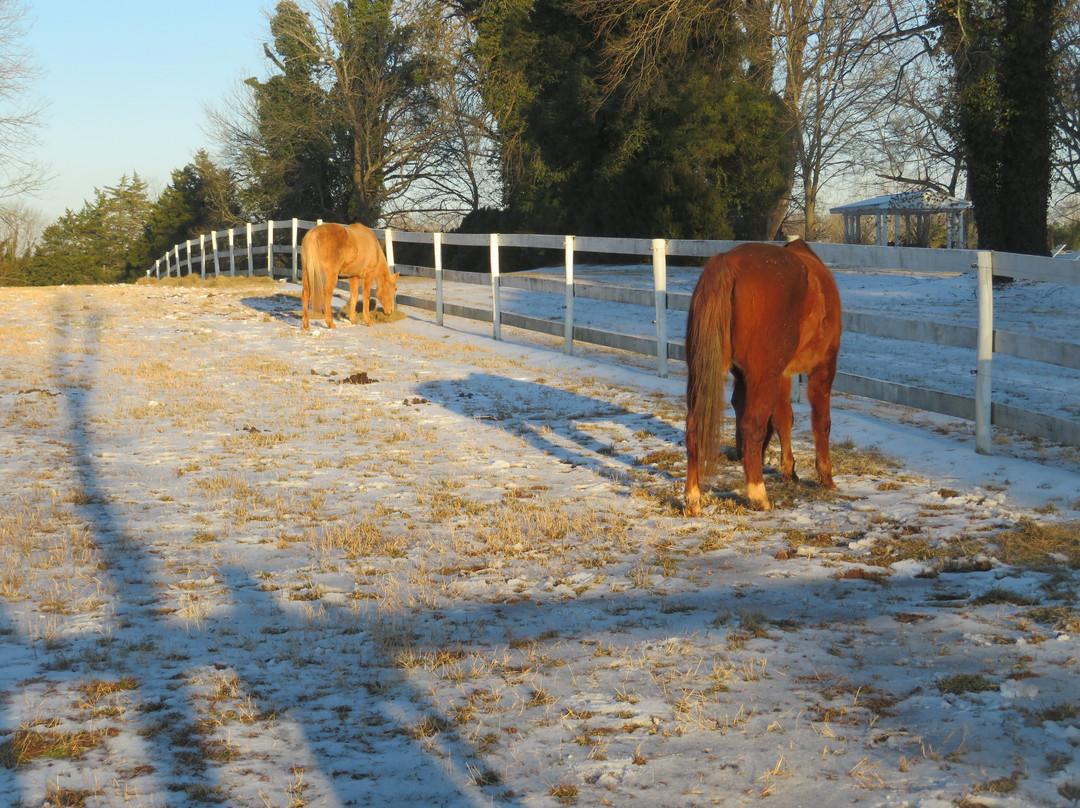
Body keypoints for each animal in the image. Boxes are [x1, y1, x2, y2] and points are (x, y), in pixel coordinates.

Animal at [682, 236, 842, 514]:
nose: (739, 455)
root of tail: (729, 262)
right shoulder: (824, 366)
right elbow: (821, 421)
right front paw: (826, 478)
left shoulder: (780, 374)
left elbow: (782, 418)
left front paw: (789, 470)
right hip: (765, 375)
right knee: (752, 426)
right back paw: (758, 495)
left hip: (702, 372)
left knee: (694, 429)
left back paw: (693, 499)